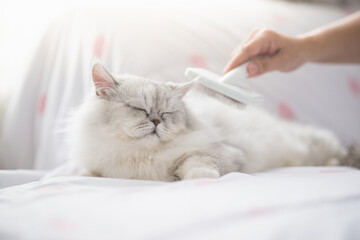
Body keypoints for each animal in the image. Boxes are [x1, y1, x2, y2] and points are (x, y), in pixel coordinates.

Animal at [68, 62, 354, 181]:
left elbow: (197, 164)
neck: (140, 157)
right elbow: (93, 172)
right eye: (139, 109)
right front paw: (83, 175)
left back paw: (339, 162)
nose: (157, 121)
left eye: (167, 113)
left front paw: (196, 178)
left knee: (336, 153)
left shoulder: (220, 152)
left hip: (311, 145)